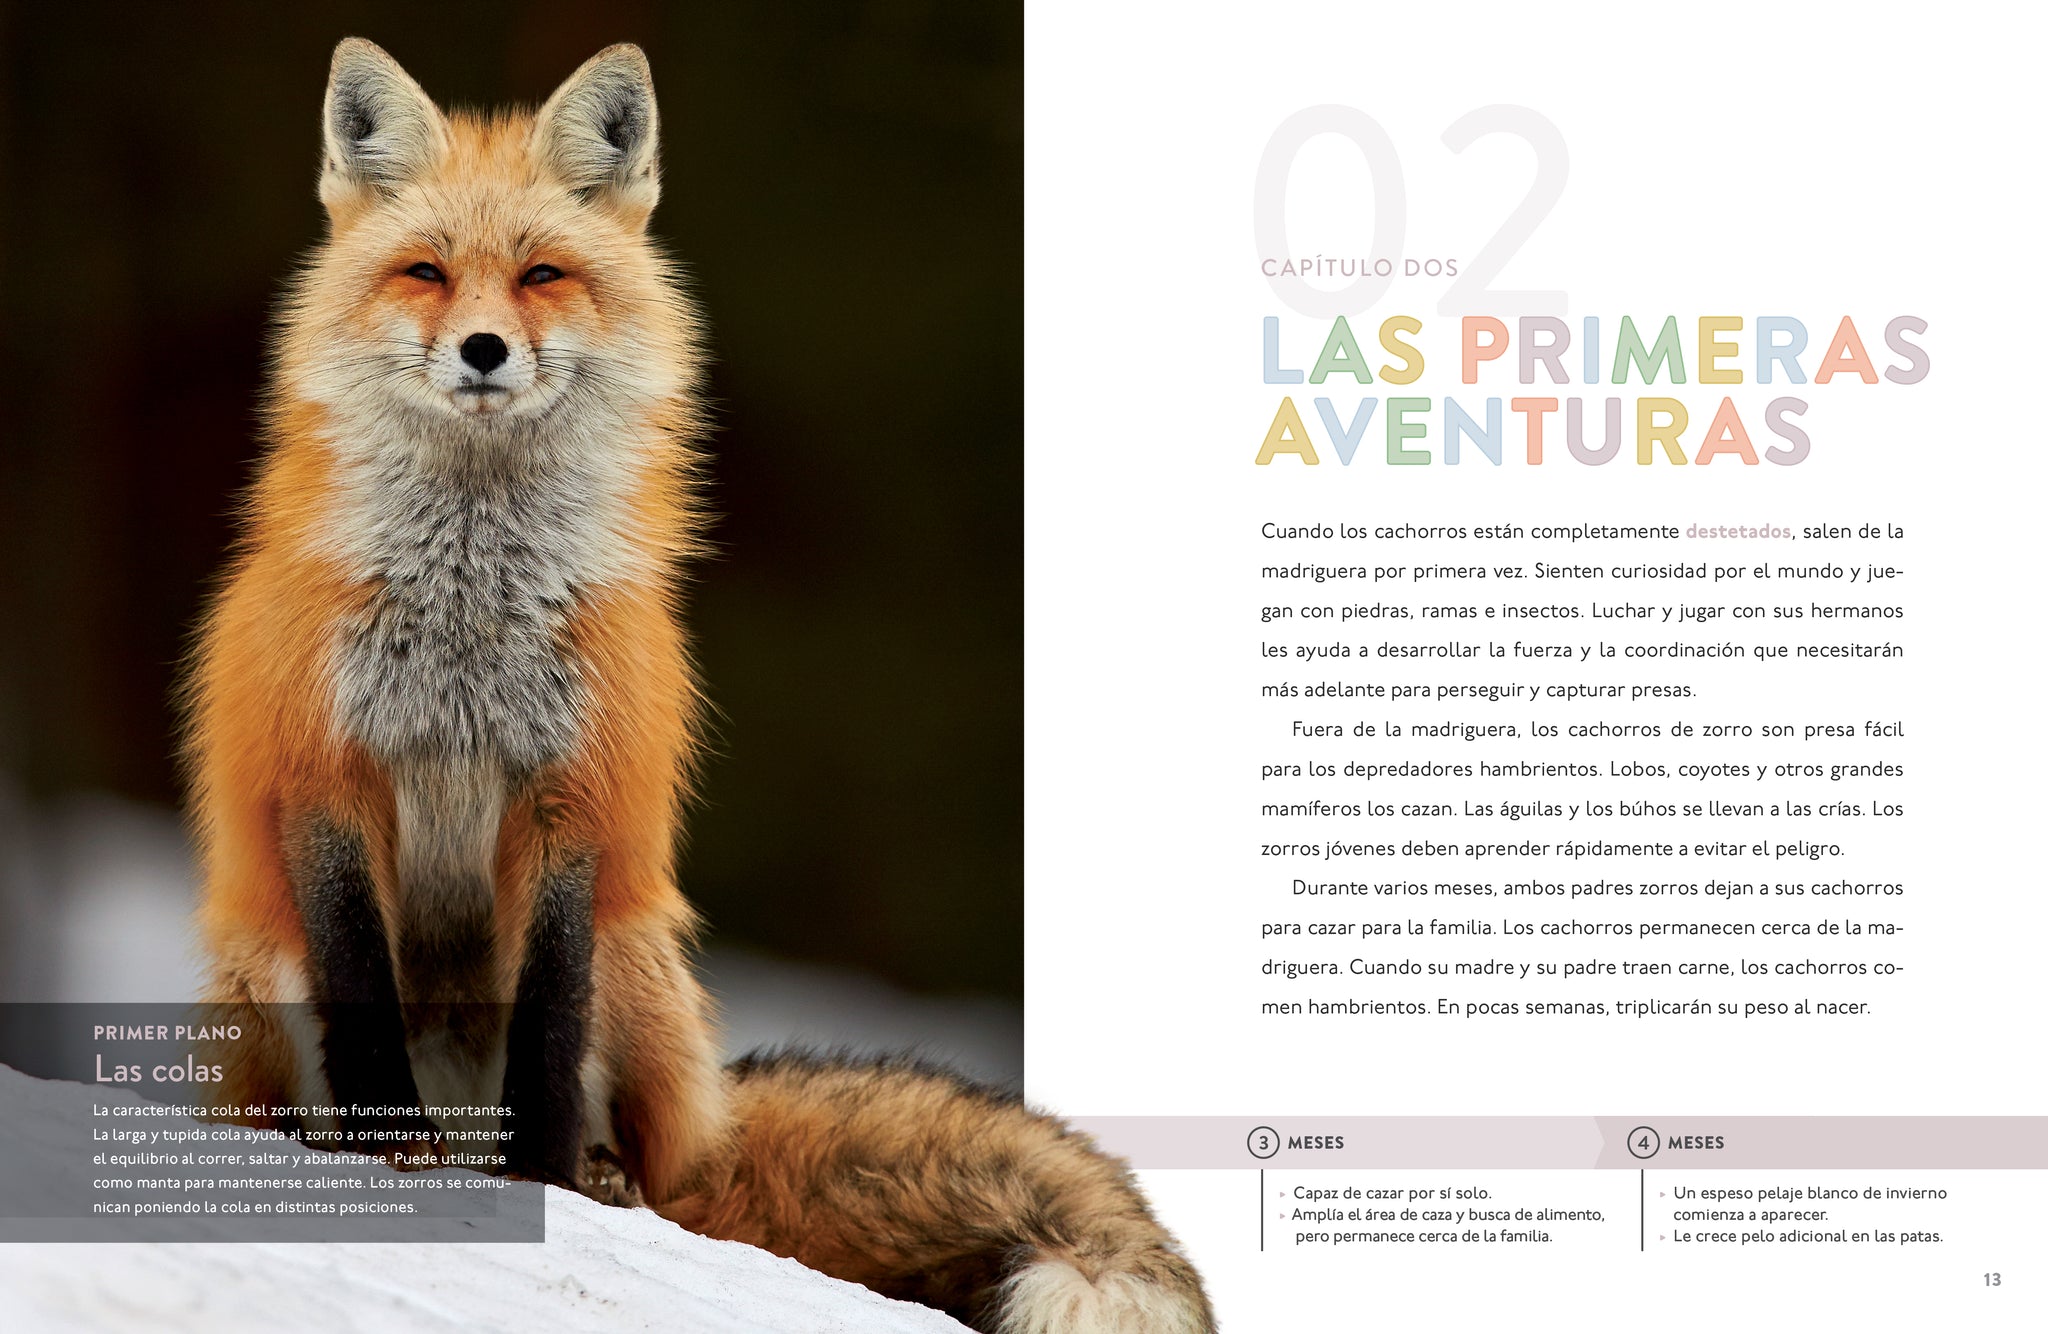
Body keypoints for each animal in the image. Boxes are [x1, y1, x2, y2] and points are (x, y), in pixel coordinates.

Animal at [180, 36, 1213, 1334]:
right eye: (425, 272)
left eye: (542, 275)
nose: (482, 350)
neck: (471, 603)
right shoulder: (327, 773)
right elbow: (360, 979)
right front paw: (390, 1159)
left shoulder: (574, 796)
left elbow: (549, 1026)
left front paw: (538, 1185)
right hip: (260, 976)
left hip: (639, 964)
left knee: (649, 1158)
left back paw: (602, 1182)